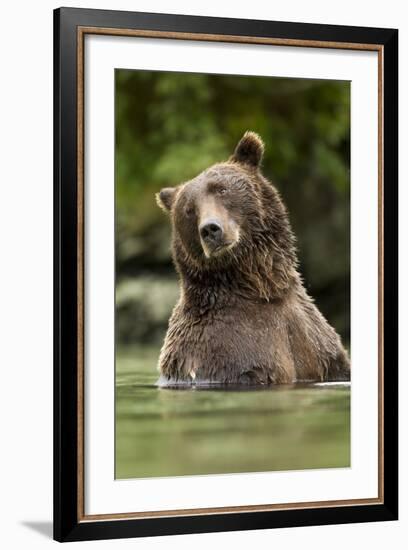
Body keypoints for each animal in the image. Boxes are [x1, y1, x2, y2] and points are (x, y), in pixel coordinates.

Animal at [155, 131, 350, 386]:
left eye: (221, 189)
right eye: (189, 209)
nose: (210, 229)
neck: (262, 289)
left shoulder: (314, 338)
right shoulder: (224, 349)